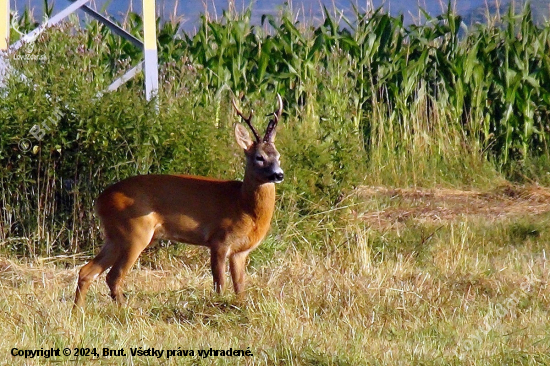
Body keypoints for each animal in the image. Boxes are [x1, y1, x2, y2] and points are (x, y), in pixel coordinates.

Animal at [74, 96, 284, 308]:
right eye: (259, 157)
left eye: (278, 156)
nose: (279, 174)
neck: (244, 207)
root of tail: (99, 200)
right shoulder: (219, 241)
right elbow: (220, 285)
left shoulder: (240, 251)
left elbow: (240, 288)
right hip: (134, 232)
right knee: (113, 276)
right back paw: (125, 310)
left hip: (115, 237)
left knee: (86, 272)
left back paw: (78, 312)